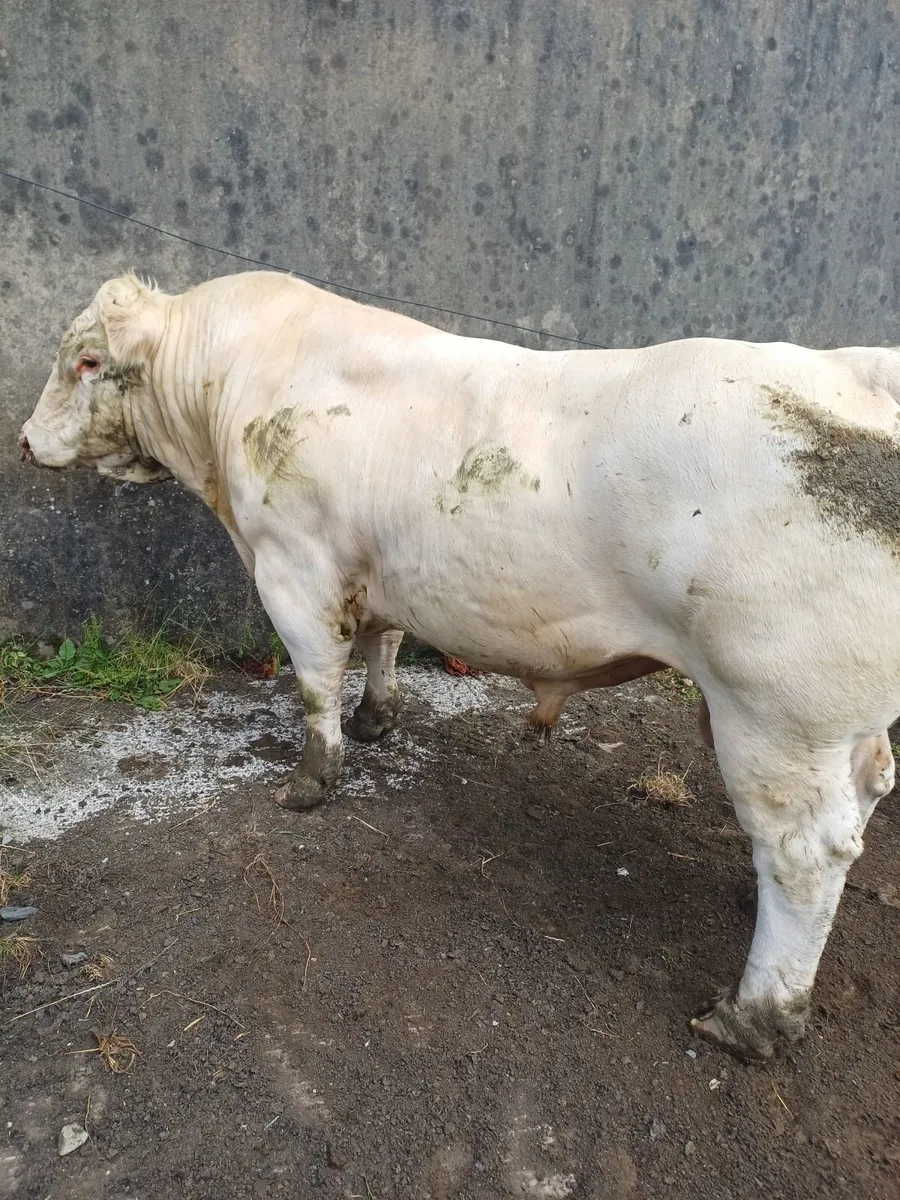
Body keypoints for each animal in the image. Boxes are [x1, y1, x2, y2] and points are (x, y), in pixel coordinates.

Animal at [20, 269, 900, 1062]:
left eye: (87, 362)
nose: (25, 441)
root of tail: (858, 368)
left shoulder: (294, 567)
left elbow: (314, 682)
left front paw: (311, 779)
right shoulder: (375, 569)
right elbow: (380, 645)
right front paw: (377, 720)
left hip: (774, 713)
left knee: (804, 850)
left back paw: (755, 1016)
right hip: (828, 727)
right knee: (856, 807)